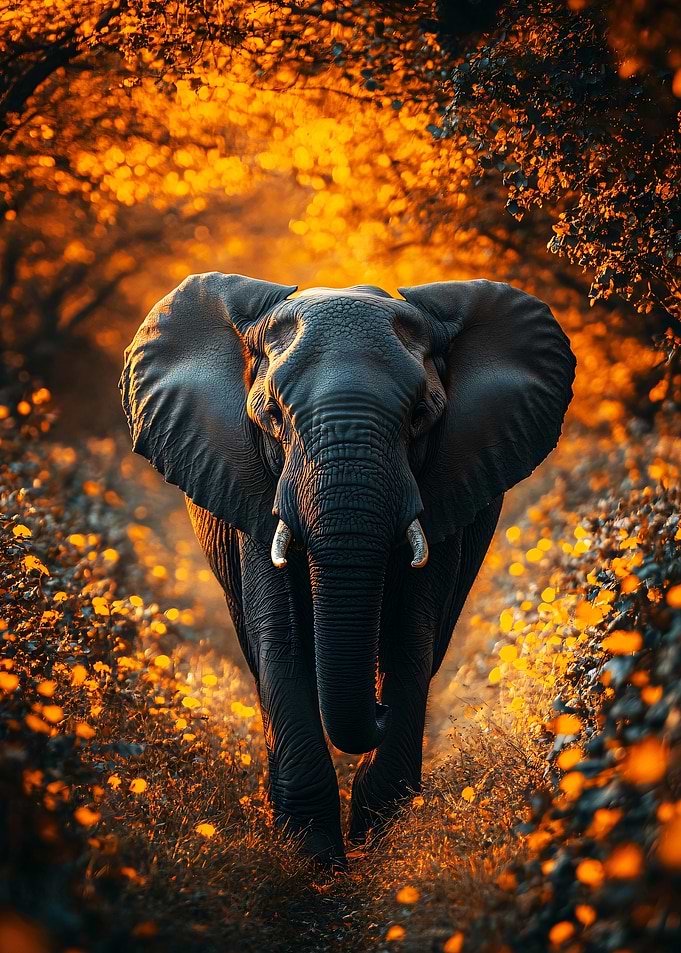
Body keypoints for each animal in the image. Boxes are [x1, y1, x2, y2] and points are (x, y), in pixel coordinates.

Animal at [120, 273, 575, 868]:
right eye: (272, 416)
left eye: (420, 416)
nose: (377, 709)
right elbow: (282, 638)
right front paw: (312, 859)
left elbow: (410, 637)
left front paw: (379, 844)